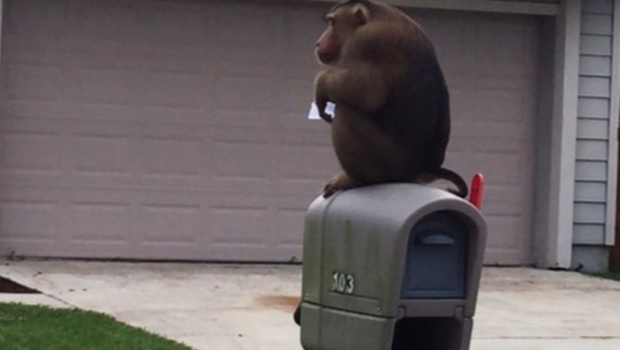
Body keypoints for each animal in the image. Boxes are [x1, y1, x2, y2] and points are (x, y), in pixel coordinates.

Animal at [312, 0, 468, 197]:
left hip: (392, 166)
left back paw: (355, 179)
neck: (374, 16)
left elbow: (367, 93)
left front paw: (321, 85)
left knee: (347, 112)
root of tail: (427, 170)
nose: (318, 42)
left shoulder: (367, 41)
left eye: (332, 22)